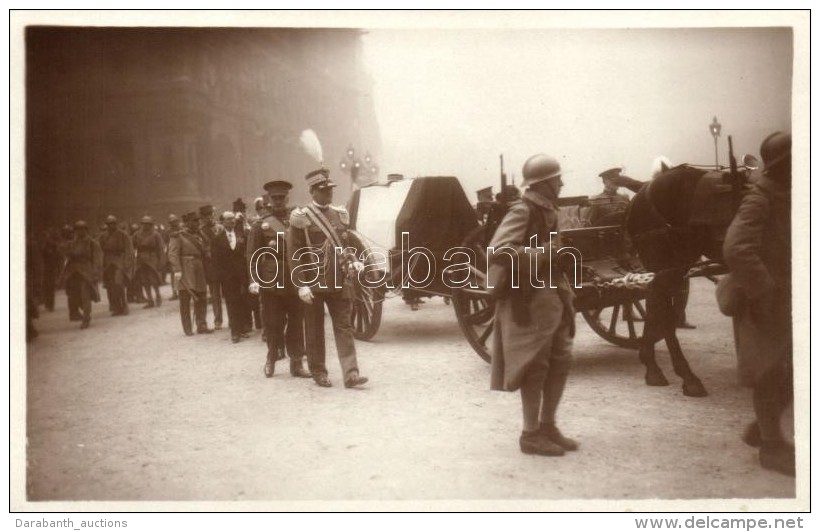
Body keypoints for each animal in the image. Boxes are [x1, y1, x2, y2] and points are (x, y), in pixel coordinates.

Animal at [616, 160, 748, 396]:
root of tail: (643, 188)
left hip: (676, 263)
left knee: (656, 302)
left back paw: (651, 364)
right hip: (662, 257)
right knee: (662, 308)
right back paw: (685, 376)